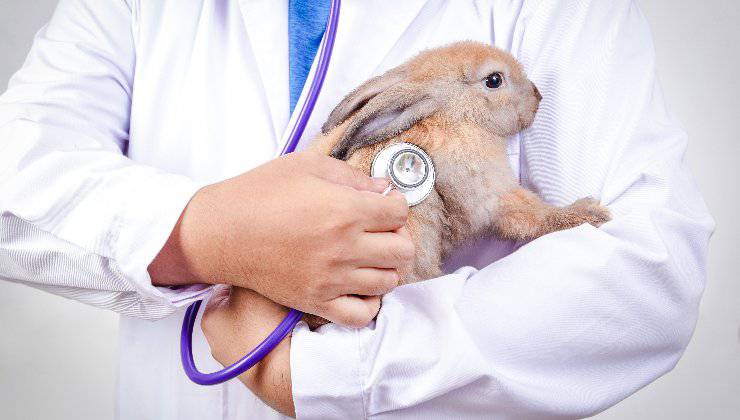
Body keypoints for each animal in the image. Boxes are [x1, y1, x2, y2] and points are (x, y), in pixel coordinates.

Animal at [306, 41, 610, 327]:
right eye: (494, 80)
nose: (538, 94)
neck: (456, 114)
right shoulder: (492, 194)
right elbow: (532, 215)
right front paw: (590, 212)